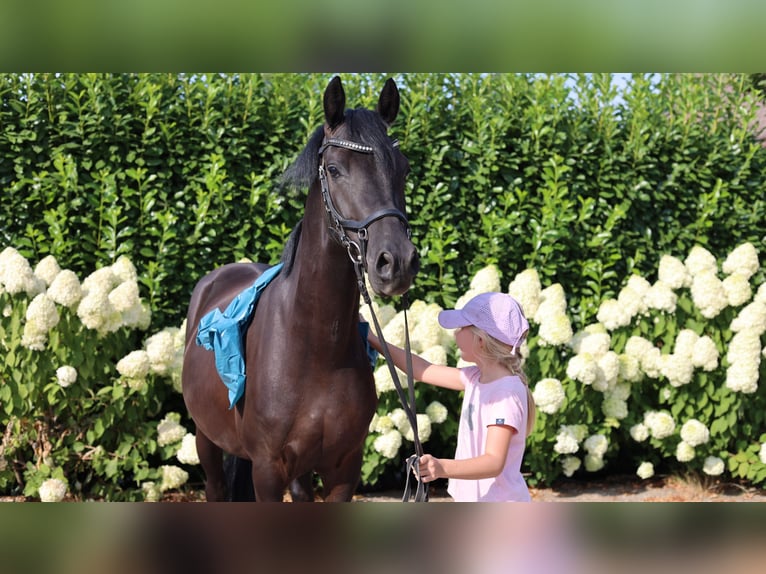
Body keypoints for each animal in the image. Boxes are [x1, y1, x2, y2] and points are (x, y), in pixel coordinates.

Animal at [181, 76, 419, 501]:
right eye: (335, 169)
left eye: (403, 169)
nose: (396, 262)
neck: (314, 346)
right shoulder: (267, 471)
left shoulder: (344, 469)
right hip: (206, 441)